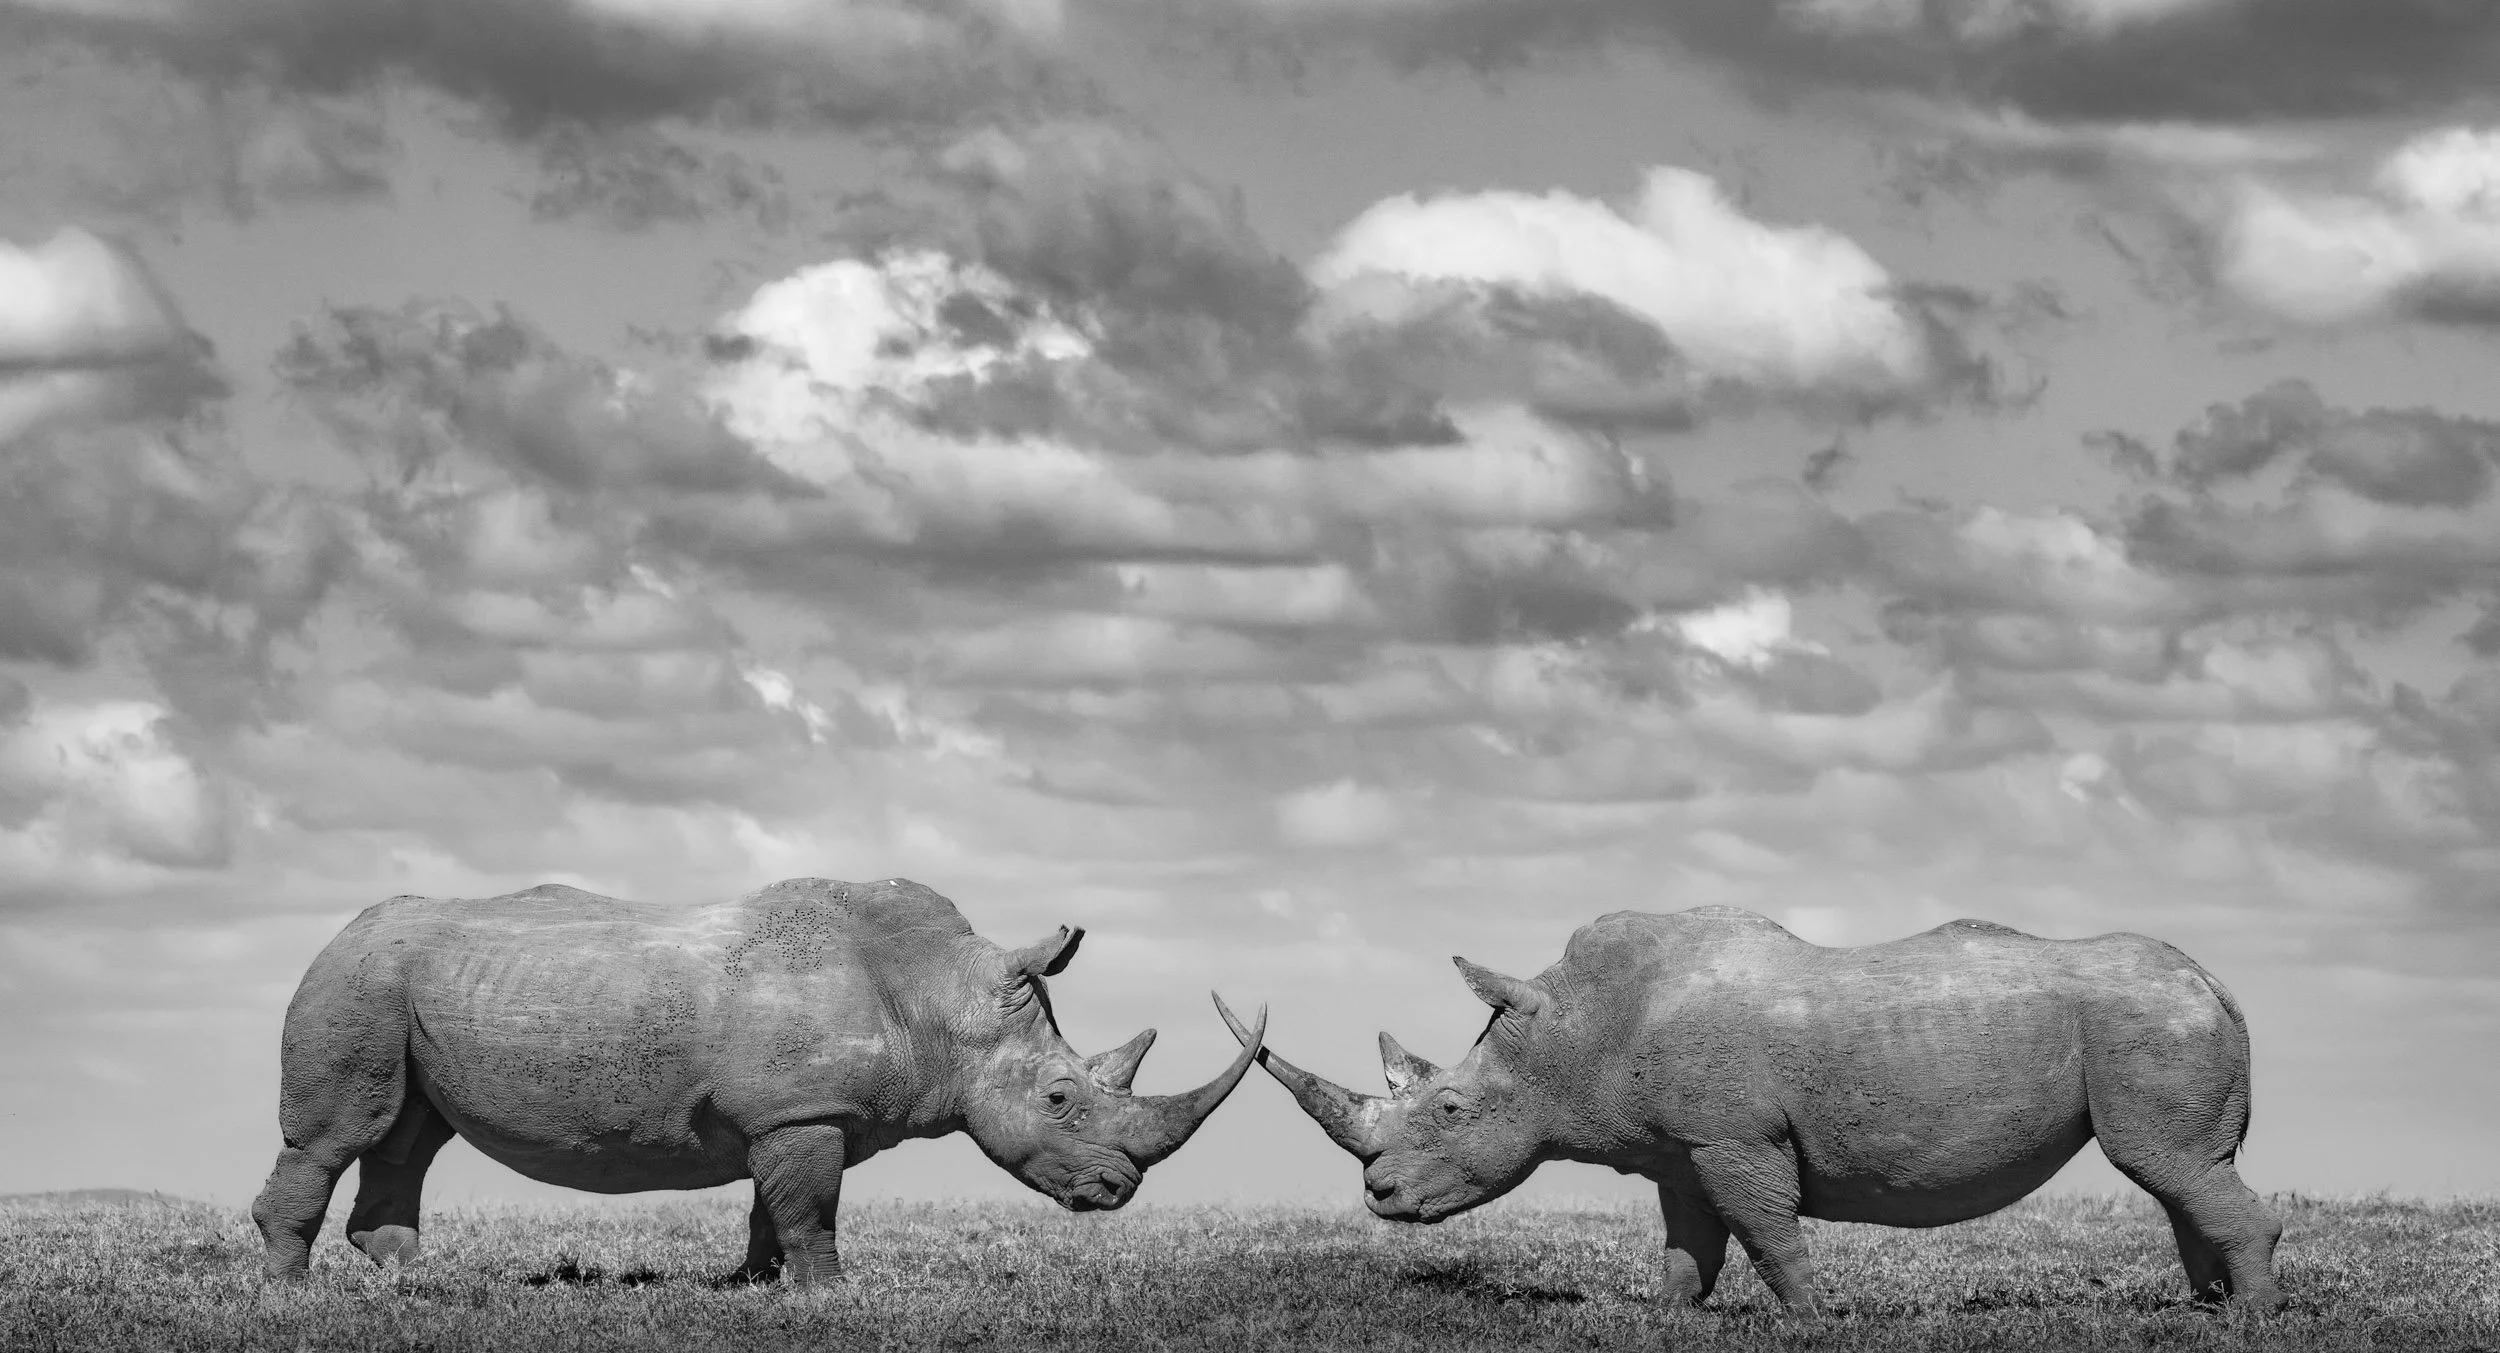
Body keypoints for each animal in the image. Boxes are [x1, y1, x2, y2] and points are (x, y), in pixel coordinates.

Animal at [251, 876, 1265, 1284]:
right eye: (1060, 1098)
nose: (1117, 1190)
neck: (936, 997)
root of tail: (340, 927)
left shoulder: (791, 1113)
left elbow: (771, 1206)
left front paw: (753, 1282)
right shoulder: (801, 1110)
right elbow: (812, 1207)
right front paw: (830, 1294)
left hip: (398, 985)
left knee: (411, 1133)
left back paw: (409, 1277)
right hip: (357, 982)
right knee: (346, 1131)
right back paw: (294, 1291)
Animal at [1220, 907, 2285, 1313]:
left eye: (1449, 1106)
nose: (1380, 1196)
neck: (1575, 1031)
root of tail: (2218, 981)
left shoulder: (1735, 1135)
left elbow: (1768, 1230)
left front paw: (1816, 1318)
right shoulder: (1681, 1146)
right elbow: (1689, 1241)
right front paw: (1666, 1317)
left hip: (2149, 1019)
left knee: (2165, 1166)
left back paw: (2249, 1320)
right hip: (2160, 1018)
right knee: (2183, 1174)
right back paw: (2207, 1307)